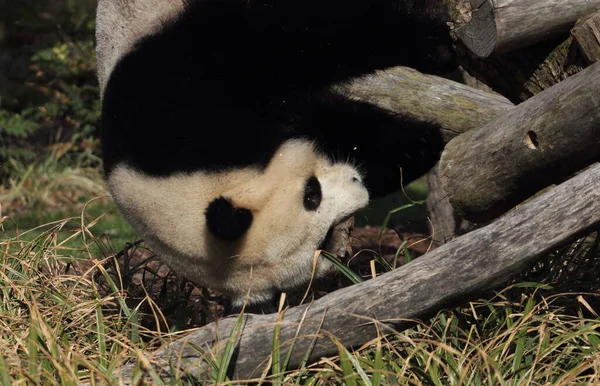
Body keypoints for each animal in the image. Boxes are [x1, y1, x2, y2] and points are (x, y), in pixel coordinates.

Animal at [97, 0, 454, 314]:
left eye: (311, 194)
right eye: (324, 240)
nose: (359, 187)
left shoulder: (178, 93)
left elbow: (296, 40)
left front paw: (431, 40)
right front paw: (419, 144)